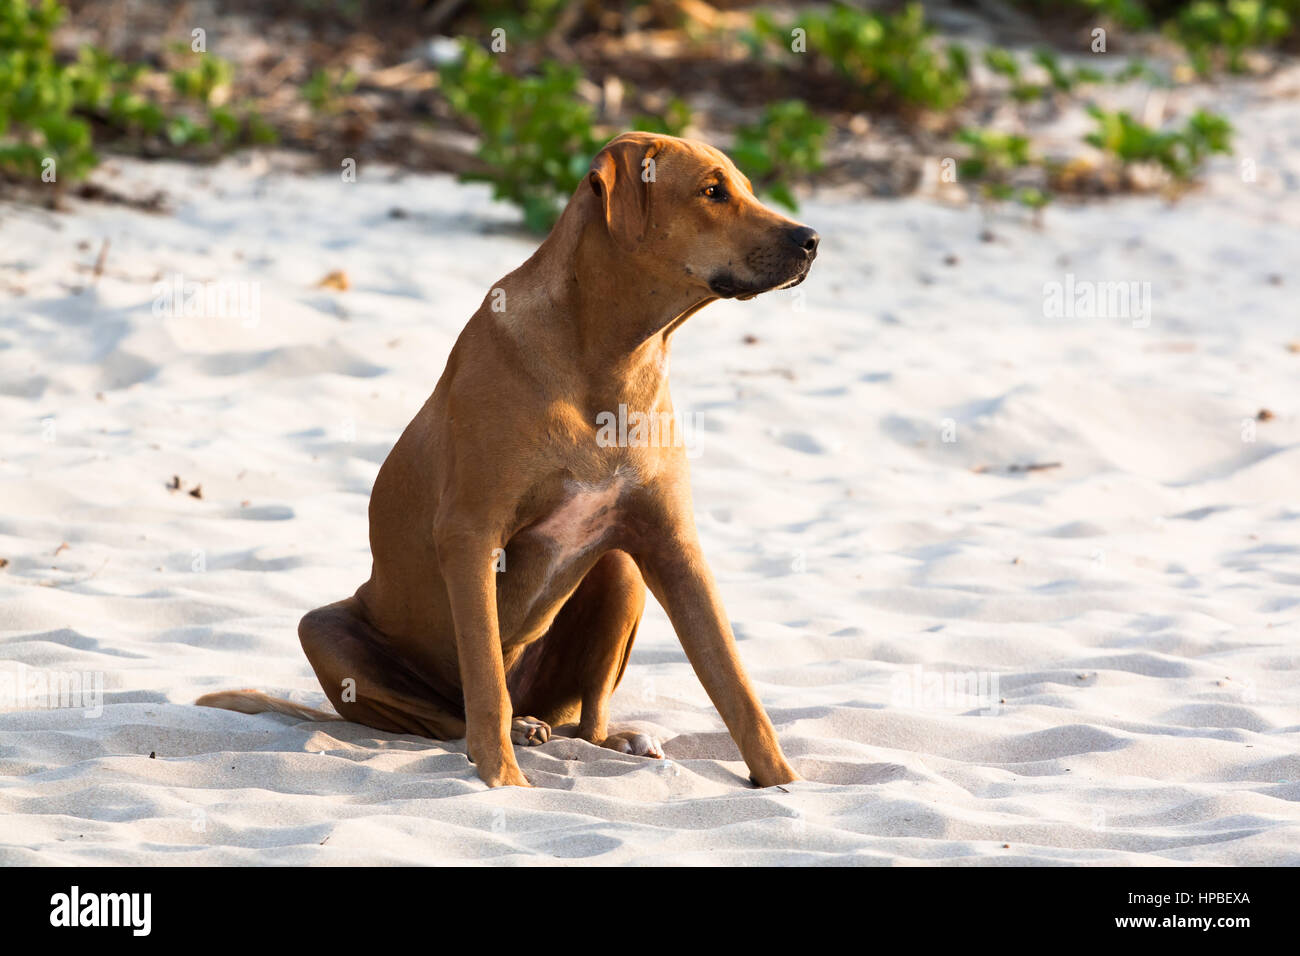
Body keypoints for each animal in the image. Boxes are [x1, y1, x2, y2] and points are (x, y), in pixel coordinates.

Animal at [197, 130, 816, 790]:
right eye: (712, 191)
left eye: (745, 186)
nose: (812, 239)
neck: (612, 356)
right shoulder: (470, 535)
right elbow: (485, 684)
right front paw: (504, 781)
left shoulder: (673, 547)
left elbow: (738, 689)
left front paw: (783, 783)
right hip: (325, 630)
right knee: (452, 714)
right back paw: (512, 731)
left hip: (620, 574)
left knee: (582, 720)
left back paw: (613, 737)